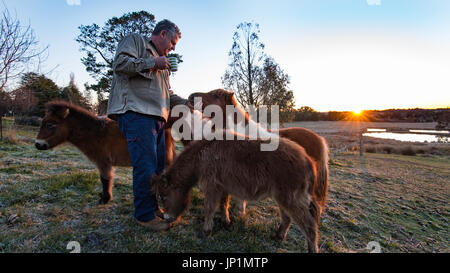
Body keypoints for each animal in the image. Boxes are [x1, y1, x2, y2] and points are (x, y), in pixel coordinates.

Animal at [34, 101, 178, 203]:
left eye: (50, 124)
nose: (37, 144)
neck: (95, 132)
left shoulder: (103, 162)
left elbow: (105, 179)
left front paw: (105, 199)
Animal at [153, 136, 322, 253]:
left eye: (164, 196)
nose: (166, 218)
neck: (203, 153)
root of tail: (308, 160)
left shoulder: (212, 186)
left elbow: (209, 208)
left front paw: (206, 231)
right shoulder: (223, 187)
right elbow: (223, 205)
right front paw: (226, 222)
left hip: (291, 199)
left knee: (309, 226)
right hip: (282, 198)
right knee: (287, 218)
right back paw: (278, 236)